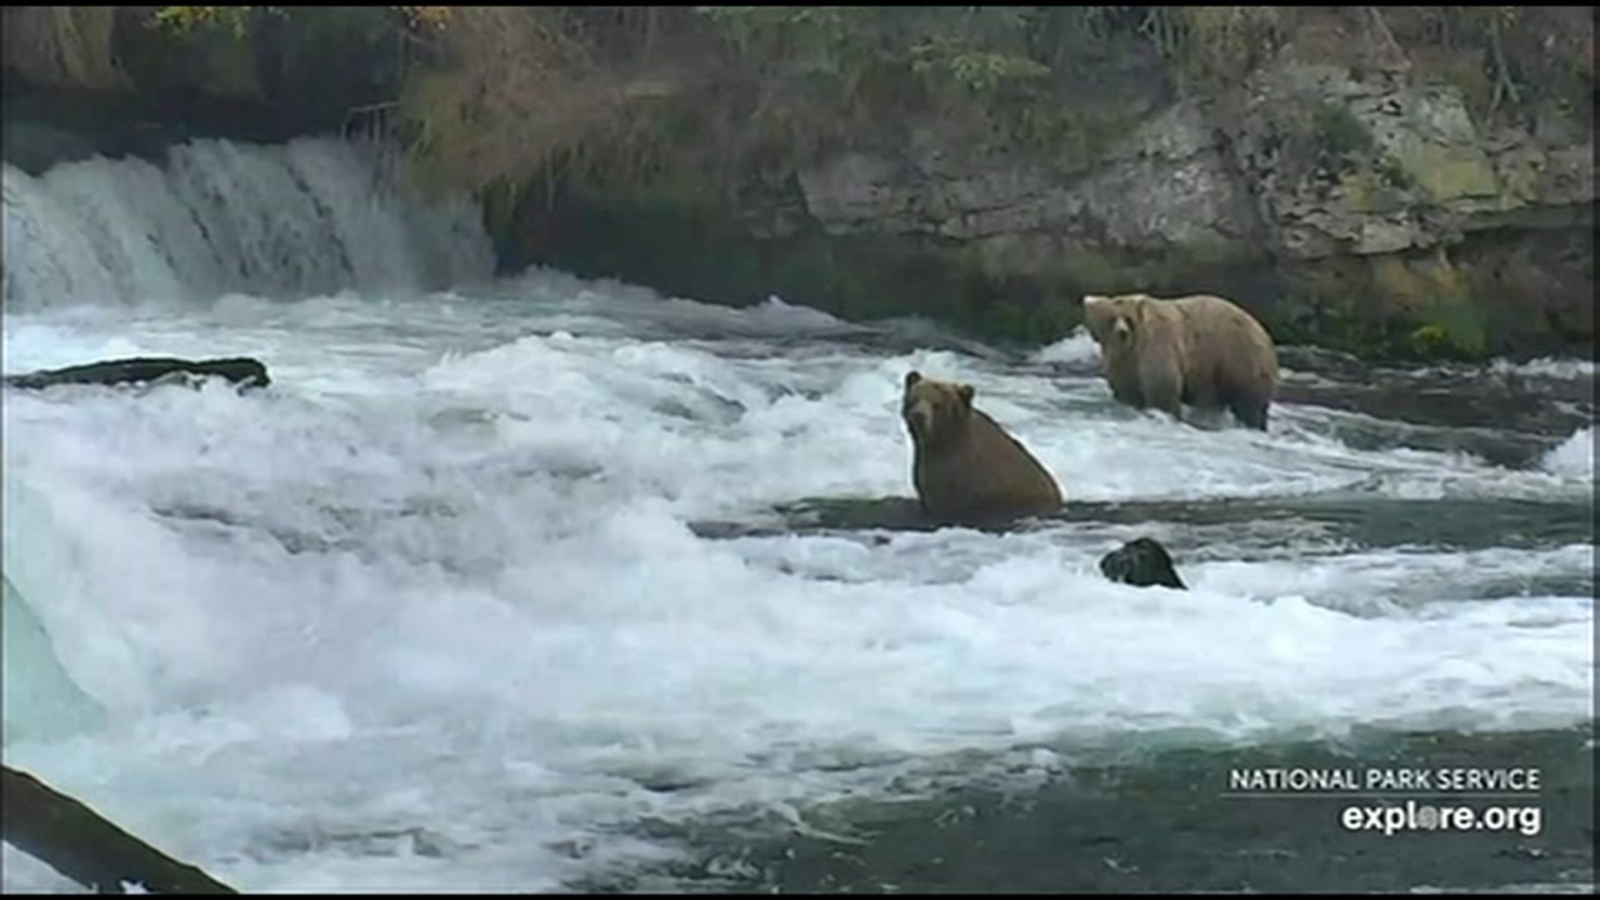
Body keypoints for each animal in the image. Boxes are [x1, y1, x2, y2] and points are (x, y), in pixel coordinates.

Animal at [1081, 292, 1279, 431]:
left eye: (1128, 318)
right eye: (1111, 318)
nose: (1122, 332)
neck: (1131, 346)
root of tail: (1264, 331)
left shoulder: (1157, 344)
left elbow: (1162, 386)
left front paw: (1166, 414)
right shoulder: (1124, 362)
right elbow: (1126, 390)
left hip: (1240, 357)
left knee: (1249, 402)